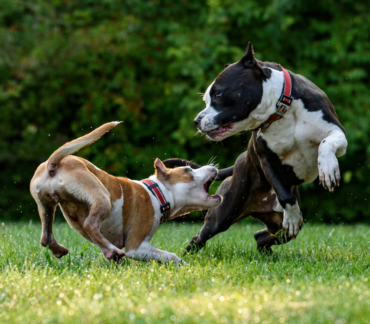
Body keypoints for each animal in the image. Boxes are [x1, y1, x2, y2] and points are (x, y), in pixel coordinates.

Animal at [30, 121, 221, 264]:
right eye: (188, 170)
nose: (213, 166)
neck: (157, 192)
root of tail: (53, 164)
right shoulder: (137, 247)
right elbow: (170, 256)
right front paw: (184, 266)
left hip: (46, 205)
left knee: (46, 236)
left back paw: (64, 249)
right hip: (102, 196)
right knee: (90, 224)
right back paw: (111, 250)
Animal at [165, 41, 346, 252]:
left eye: (218, 94)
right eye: (206, 99)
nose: (196, 120)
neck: (281, 110)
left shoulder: (337, 132)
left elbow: (326, 143)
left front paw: (328, 168)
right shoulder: (266, 158)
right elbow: (285, 195)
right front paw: (292, 215)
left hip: (277, 225)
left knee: (262, 236)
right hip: (223, 214)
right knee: (200, 237)